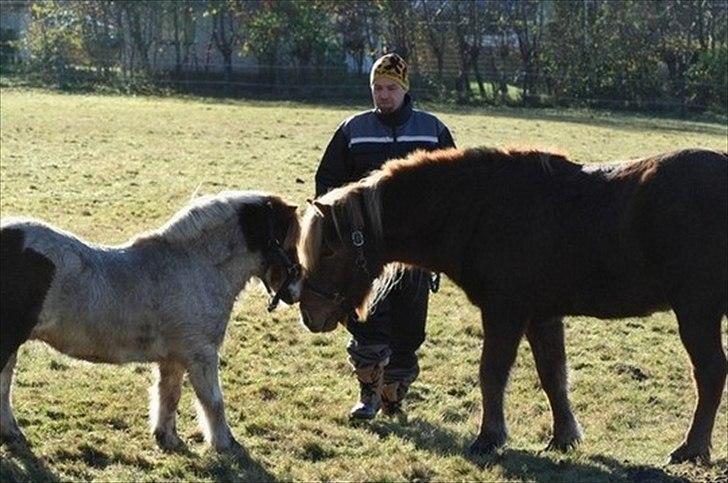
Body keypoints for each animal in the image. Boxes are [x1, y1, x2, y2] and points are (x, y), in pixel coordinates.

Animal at [0, 190, 302, 454]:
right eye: (288, 239)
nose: (296, 289)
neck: (195, 268)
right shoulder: (202, 355)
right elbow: (213, 401)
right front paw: (225, 444)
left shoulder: (174, 358)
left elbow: (169, 395)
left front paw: (168, 439)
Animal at [298, 148, 728, 466]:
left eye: (330, 249)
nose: (310, 314)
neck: (478, 209)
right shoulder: (542, 317)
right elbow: (553, 376)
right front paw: (563, 437)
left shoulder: (504, 312)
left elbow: (491, 374)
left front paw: (489, 437)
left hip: (696, 313)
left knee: (710, 373)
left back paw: (692, 449)